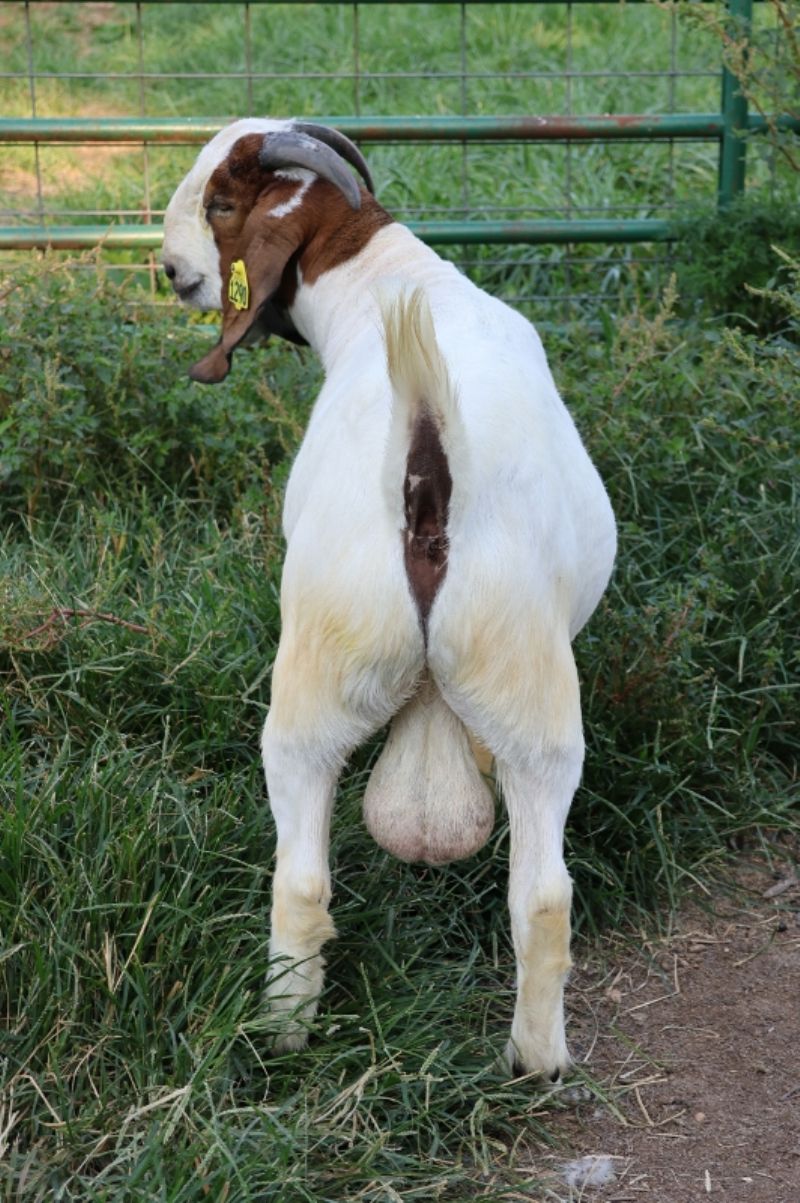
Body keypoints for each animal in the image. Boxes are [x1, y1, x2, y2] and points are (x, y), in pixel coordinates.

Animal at [158, 122, 613, 1082]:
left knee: (298, 880)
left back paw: (281, 1040)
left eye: (221, 204)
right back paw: (537, 1061)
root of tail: (428, 473)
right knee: (543, 896)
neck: (390, 283)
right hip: (531, 690)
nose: (172, 272)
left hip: (316, 675)